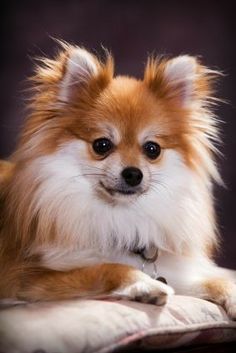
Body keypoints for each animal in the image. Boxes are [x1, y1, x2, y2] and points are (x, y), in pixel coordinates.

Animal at [0, 42, 236, 318]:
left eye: (152, 149)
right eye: (101, 145)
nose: (133, 173)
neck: (120, 217)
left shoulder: (175, 271)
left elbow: (215, 279)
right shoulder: (26, 277)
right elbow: (106, 267)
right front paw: (145, 284)